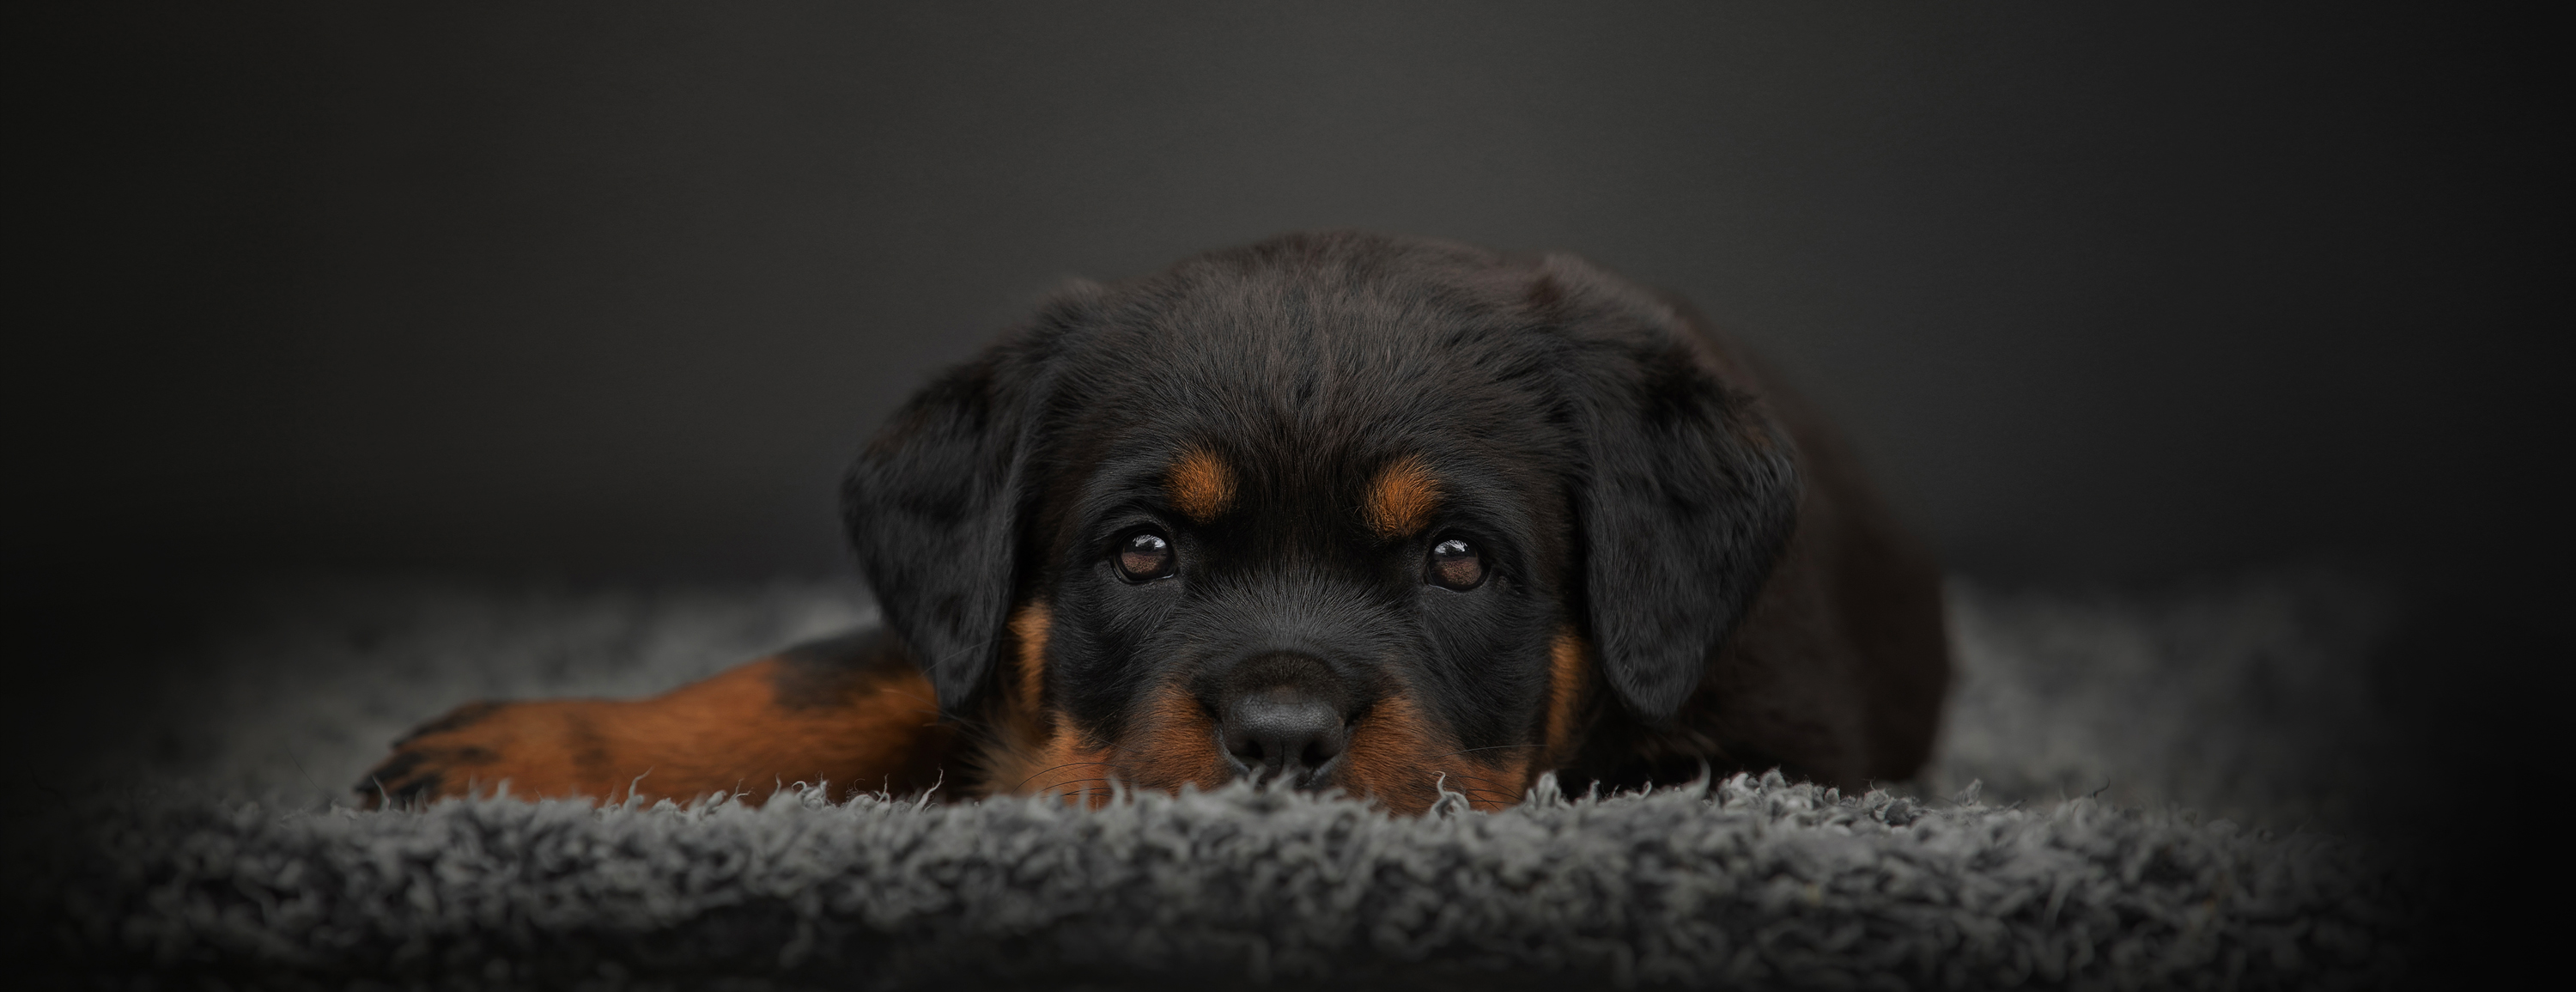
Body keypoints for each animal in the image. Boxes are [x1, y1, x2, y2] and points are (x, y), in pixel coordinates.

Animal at [353, 229, 1937, 814]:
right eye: (1142, 552)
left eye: (1458, 560)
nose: (1282, 739)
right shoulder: (974, 621)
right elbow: (834, 677)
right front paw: (525, 752)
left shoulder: (1760, 748)